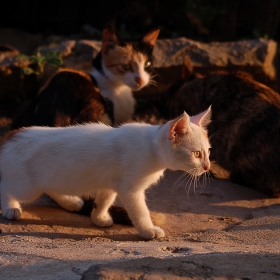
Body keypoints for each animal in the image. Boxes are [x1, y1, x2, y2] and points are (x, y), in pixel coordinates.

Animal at [0, 108, 210, 240]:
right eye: (196, 154)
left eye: (208, 151)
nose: (207, 167)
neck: (151, 148)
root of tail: (10, 135)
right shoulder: (130, 189)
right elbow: (140, 211)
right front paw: (148, 230)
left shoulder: (112, 182)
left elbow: (104, 199)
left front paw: (99, 217)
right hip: (26, 187)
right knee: (6, 186)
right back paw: (11, 208)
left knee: (50, 187)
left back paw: (71, 202)